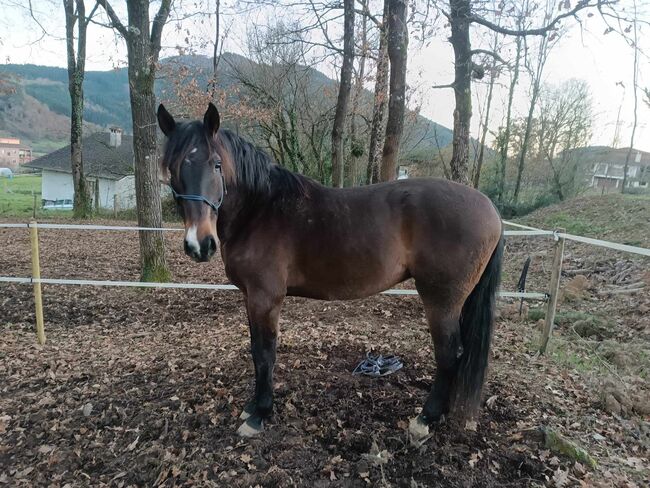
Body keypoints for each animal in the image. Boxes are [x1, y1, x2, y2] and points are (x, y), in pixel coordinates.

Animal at [156, 104, 502, 438]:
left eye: (216, 164)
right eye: (173, 169)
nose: (199, 244)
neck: (260, 209)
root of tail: (490, 209)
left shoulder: (265, 299)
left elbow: (265, 353)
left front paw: (259, 415)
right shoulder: (250, 298)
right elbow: (256, 349)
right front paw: (252, 406)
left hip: (441, 300)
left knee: (449, 355)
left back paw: (425, 419)